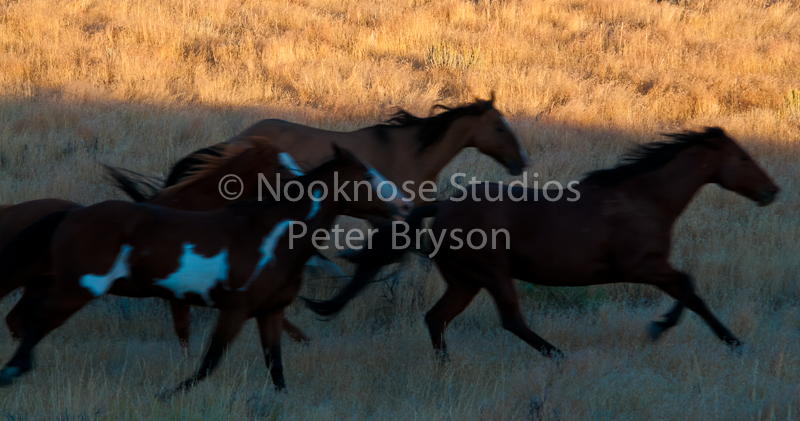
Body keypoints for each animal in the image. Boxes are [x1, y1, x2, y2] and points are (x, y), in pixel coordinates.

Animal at [0, 146, 410, 391]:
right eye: (367, 177)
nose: (404, 205)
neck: (272, 233)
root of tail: (70, 215)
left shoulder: (268, 311)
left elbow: (275, 366)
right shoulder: (230, 309)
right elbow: (203, 358)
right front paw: (169, 392)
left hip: (52, 285)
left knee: (22, 319)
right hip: (75, 289)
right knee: (33, 322)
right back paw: (14, 370)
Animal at [305, 127, 779, 360]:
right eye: (742, 158)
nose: (771, 191)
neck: (646, 198)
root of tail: (442, 207)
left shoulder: (650, 267)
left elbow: (691, 291)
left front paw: (730, 341)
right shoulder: (643, 265)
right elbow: (690, 287)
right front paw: (664, 328)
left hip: (465, 279)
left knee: (436, 318)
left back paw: (447, 367)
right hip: (492, 272)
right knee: (511, 320)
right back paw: (557, 355)